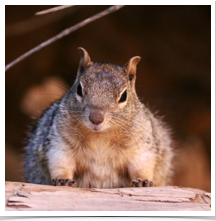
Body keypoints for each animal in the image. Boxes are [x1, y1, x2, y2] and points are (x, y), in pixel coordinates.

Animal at [23, 47, 173, 188]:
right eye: (79, 89)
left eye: (124, 95)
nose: (95, 118)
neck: (100, 137)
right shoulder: (59, 142)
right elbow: (61, 163)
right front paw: (62, 179)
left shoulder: (141, 144)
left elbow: (141, 165)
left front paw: (143, 180)